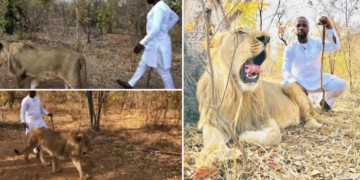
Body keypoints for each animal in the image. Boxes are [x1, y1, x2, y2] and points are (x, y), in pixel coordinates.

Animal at [194, 28, 348, 167]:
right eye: (240, 31)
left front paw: (244, 135)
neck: (238, 92)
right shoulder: (213, 119)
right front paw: (212, 154)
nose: (267, 38)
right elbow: (211, 135)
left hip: (292, 87)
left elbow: (274, 135)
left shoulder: (265, 119)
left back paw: (312, 124)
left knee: (309, 115)